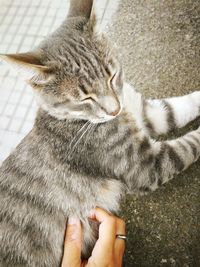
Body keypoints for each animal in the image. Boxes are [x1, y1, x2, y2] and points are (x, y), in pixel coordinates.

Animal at [0, 0, 200, 267]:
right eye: (85, 99)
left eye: (112, 75)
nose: (114, 110)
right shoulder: (145, 165)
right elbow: (188, 145)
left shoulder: (145, 112)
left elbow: (176, 109)